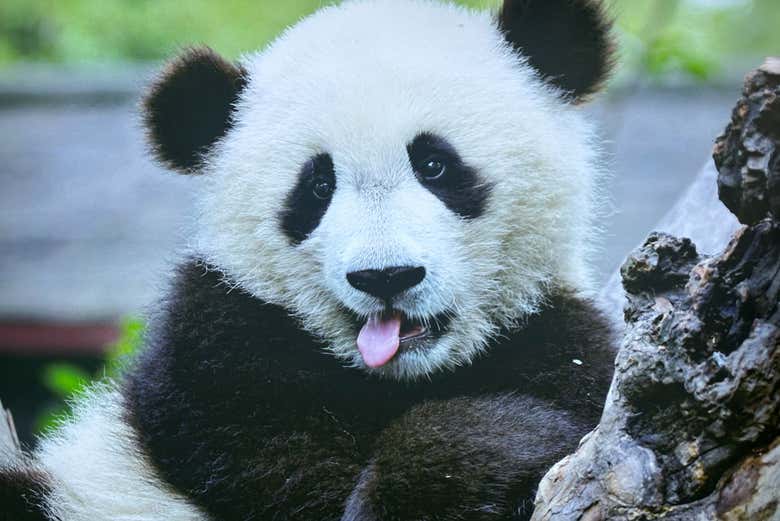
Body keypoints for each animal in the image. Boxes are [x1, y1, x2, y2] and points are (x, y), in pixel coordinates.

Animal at [1, 0, 618, 519]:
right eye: (318, 187)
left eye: (435, 165)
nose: (385, 276)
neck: (402, 377)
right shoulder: (218, 368)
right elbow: (294, 481)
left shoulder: (556, 337)